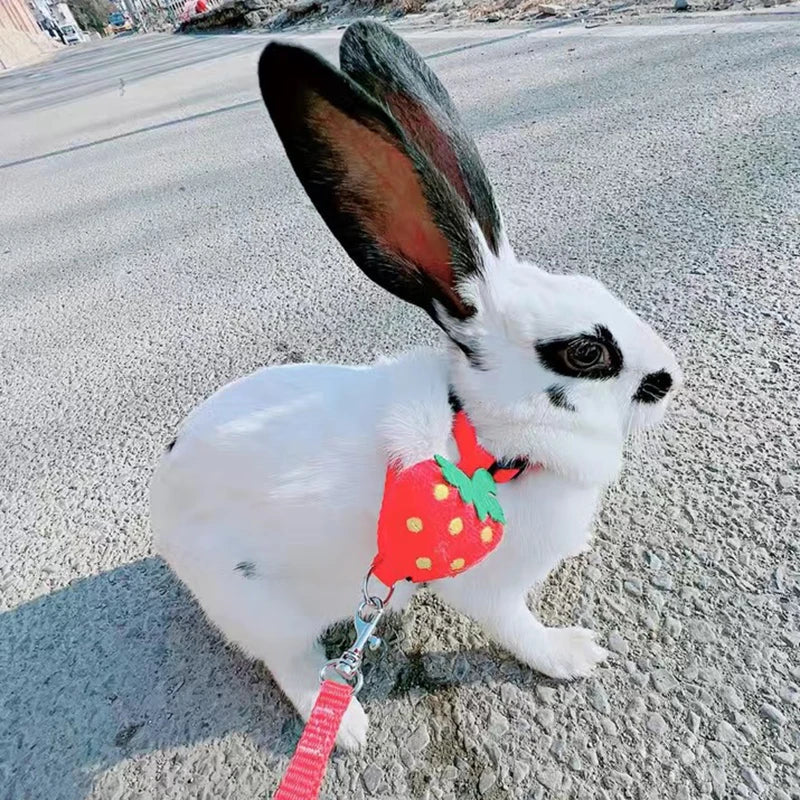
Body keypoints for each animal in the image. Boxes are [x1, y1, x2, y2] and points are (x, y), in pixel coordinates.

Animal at [150, 20, 682, 751]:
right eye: (586, 352)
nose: (669, 378)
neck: (487, 442)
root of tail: (162, 500)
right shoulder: (488, 588)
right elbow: (517, 628)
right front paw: (573, 656)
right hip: (267, 609)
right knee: (290, 663)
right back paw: (343, 725)